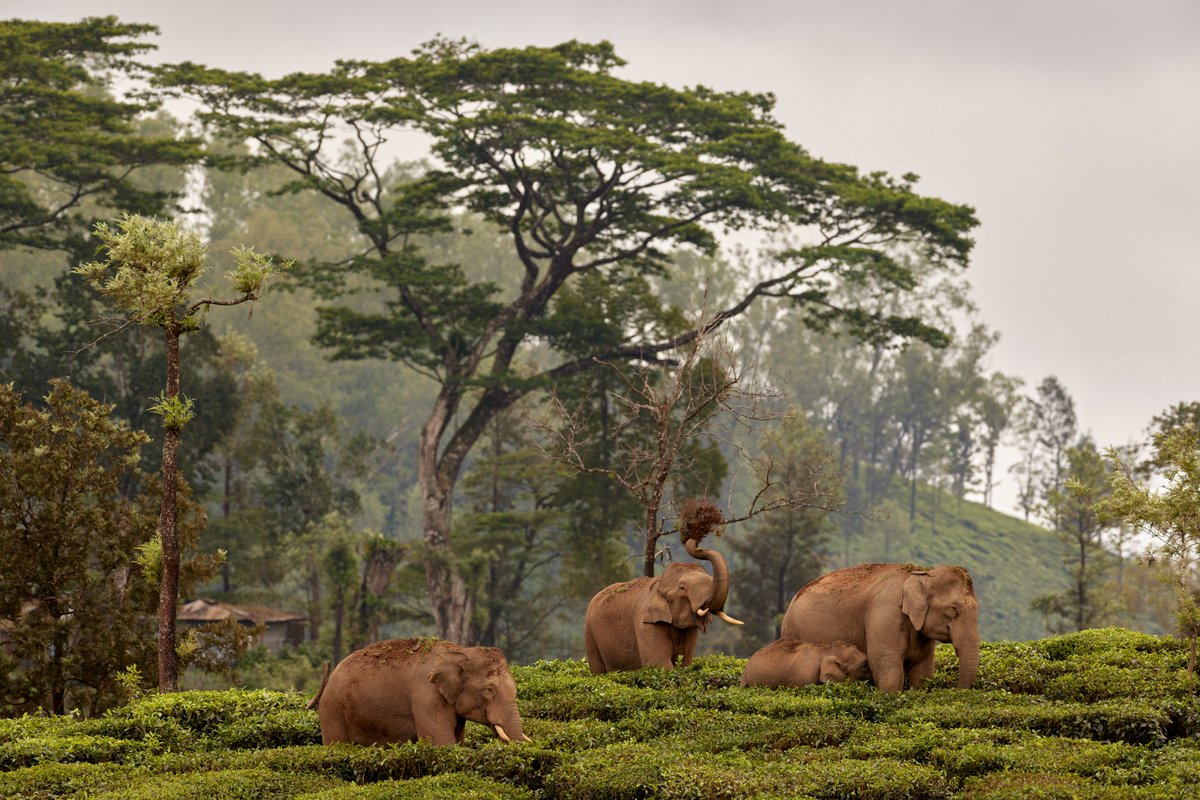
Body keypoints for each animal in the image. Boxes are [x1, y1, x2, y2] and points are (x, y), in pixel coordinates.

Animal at [583, 534, 739, 671]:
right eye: (682, 588)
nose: (695, 541)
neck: (659, 582)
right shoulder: (645, 623)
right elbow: (660, 664)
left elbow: (685, 663)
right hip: (590, 632)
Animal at [782, 566, 979, 690]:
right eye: (952, 610)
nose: (956, 690)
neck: (920, 573)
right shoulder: (884, 617)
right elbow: (888, 670)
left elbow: (921, 672)